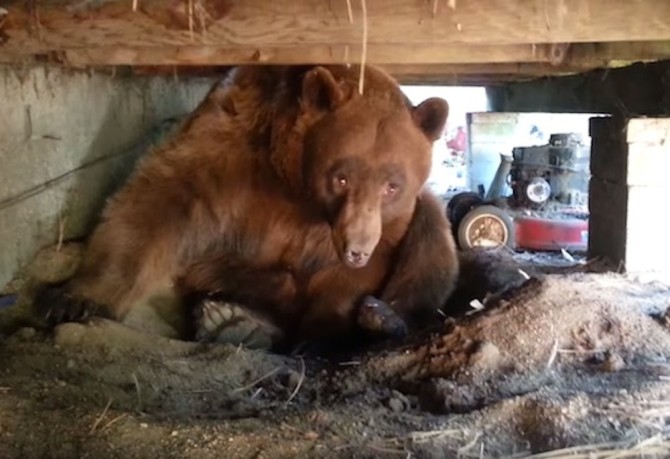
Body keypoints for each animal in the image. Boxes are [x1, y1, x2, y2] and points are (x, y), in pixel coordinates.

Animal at [38, 64, 462, 350]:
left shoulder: (384, 226)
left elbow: (357, 275)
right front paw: (73, 300)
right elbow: (159, 200)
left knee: (433, 234)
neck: (295, 180)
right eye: (340, 178)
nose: (356, 248)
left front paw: (322, 334)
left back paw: (384, 318)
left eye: (392, 185)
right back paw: (232, 317)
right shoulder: (232, 143)